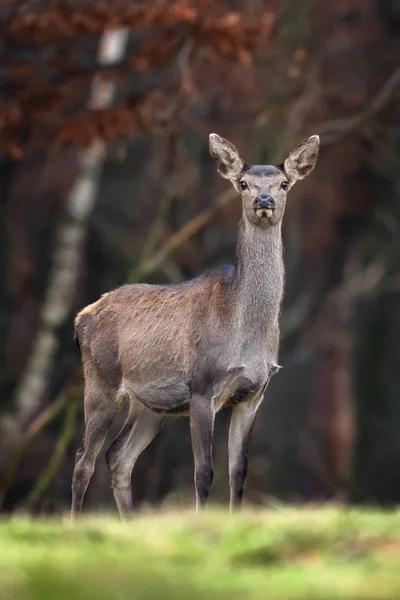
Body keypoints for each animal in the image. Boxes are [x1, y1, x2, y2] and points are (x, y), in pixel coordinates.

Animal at [71, 134, 318, 516]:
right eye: (243, 183)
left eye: (284, 183)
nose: (264, 200)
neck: (242, 330)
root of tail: (80, 318)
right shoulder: (202, 386)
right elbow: (203, 470)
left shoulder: (254, 394)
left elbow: (238, 471)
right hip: (101, 380)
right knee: (84, 459)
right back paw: (73, 521)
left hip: (151, 406)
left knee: (118, 457)